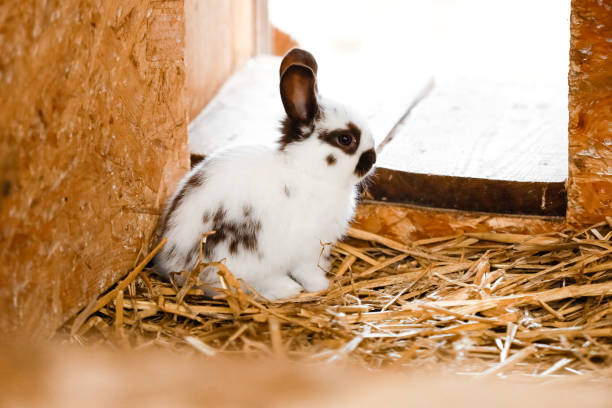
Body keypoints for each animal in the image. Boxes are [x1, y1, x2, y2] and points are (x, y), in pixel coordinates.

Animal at [151, 49, 376, 302]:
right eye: (346, 139)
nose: (373, 158)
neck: (306, 171)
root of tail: (171, 266)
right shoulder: (307, 250)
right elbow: (307, 272)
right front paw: (320, 285)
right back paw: (286, 288)